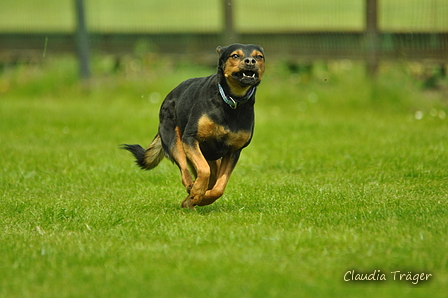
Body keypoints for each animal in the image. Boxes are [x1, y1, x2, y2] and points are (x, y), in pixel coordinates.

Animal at [121, 43, 264, 208]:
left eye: (259, 56)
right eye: (235, 55)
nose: (250, 61)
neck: (231, 101)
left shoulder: (234, 151)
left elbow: (219, 188)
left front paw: (202, 197)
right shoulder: (190, 138)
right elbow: (203, 169)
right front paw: (197, 191)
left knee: (211, 178)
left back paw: (190, 200)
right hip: (174, 141)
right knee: (185, 170)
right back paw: (192, 187)